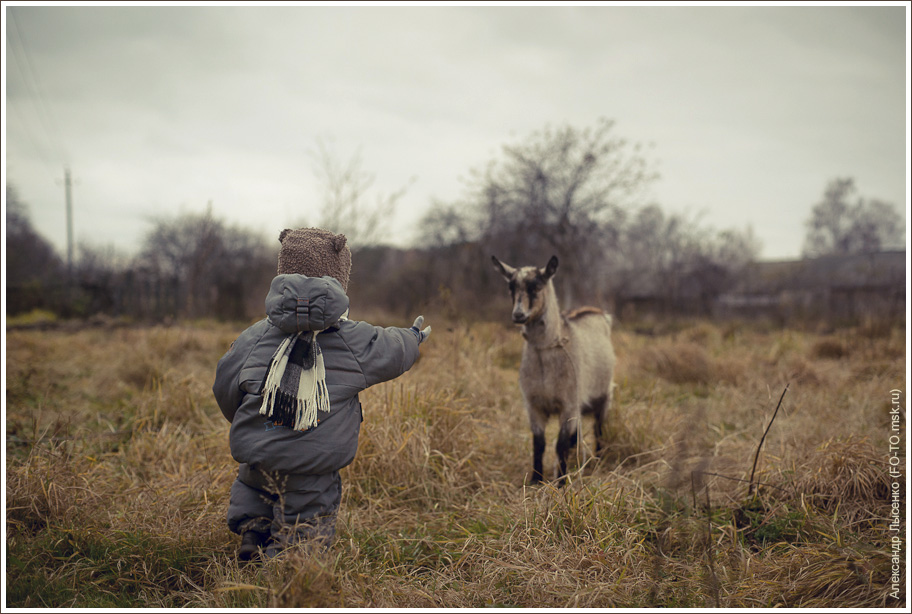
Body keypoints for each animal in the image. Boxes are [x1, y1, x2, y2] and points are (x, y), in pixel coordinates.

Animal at [496, 255, 616, 486]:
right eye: (510, 286)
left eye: (537, 286)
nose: (518, 315)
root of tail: (597, 312)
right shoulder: (534, 405)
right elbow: (539, 443)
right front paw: (536, 479)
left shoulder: (568, 405)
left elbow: (560, 444)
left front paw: (560, 482)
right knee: (576, 436)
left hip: (603, 394)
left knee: (599, 429)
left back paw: (598, 459)